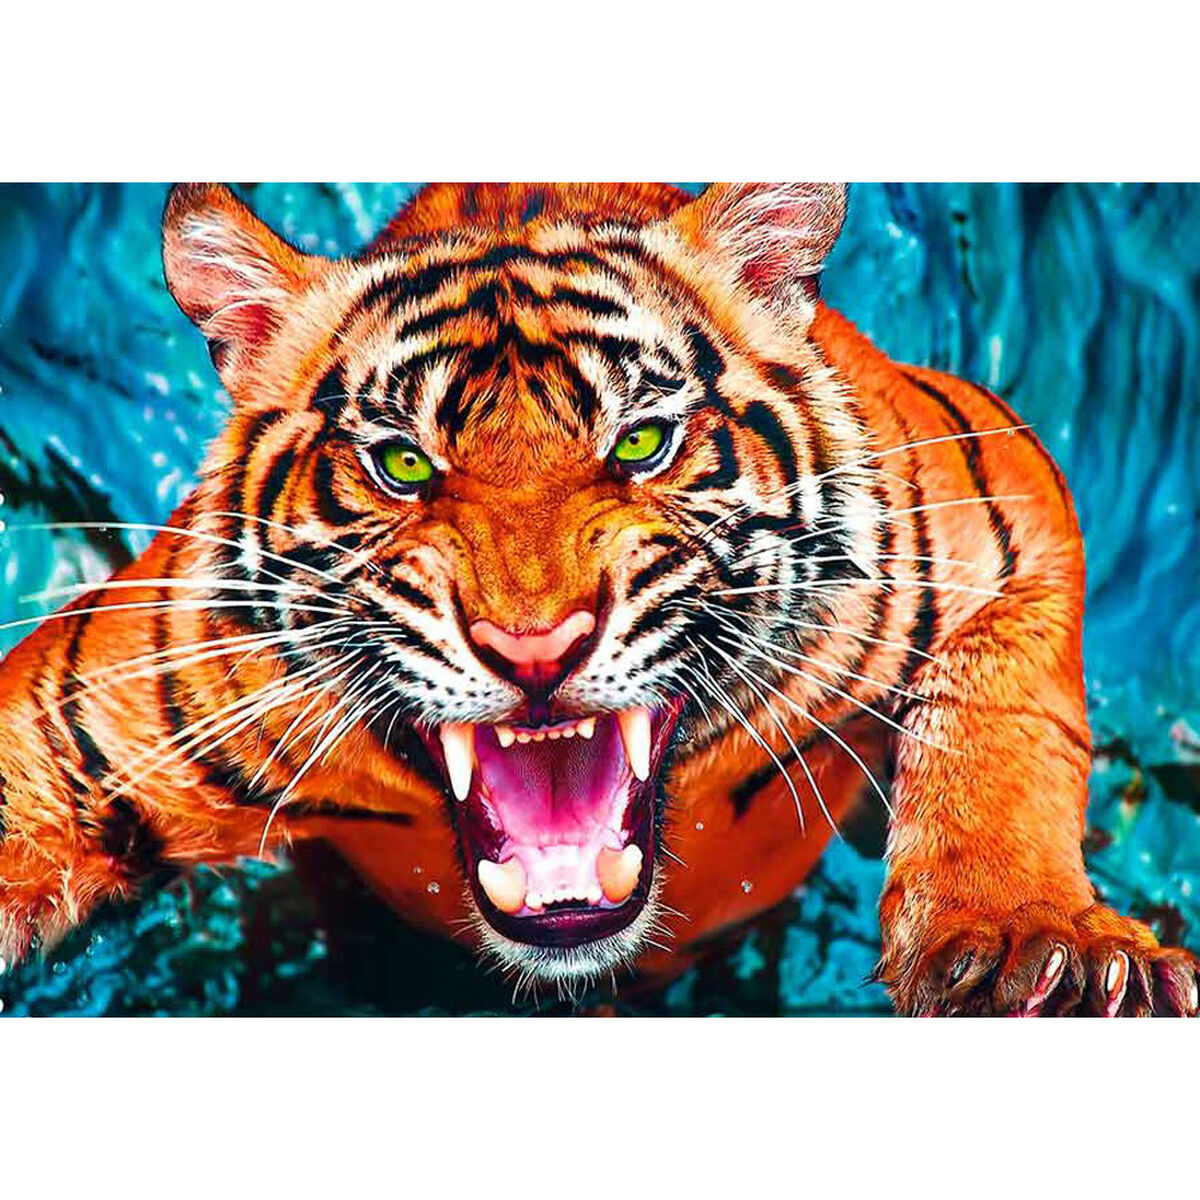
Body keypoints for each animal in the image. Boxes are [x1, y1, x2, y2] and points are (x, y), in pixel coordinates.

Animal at [0, 181, 1195, 1015]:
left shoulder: (1001, 504)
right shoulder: (91, 705)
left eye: (640, 443)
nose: (534, 649)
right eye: (404, 465)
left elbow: (1000, 734)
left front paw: (1040, 947)